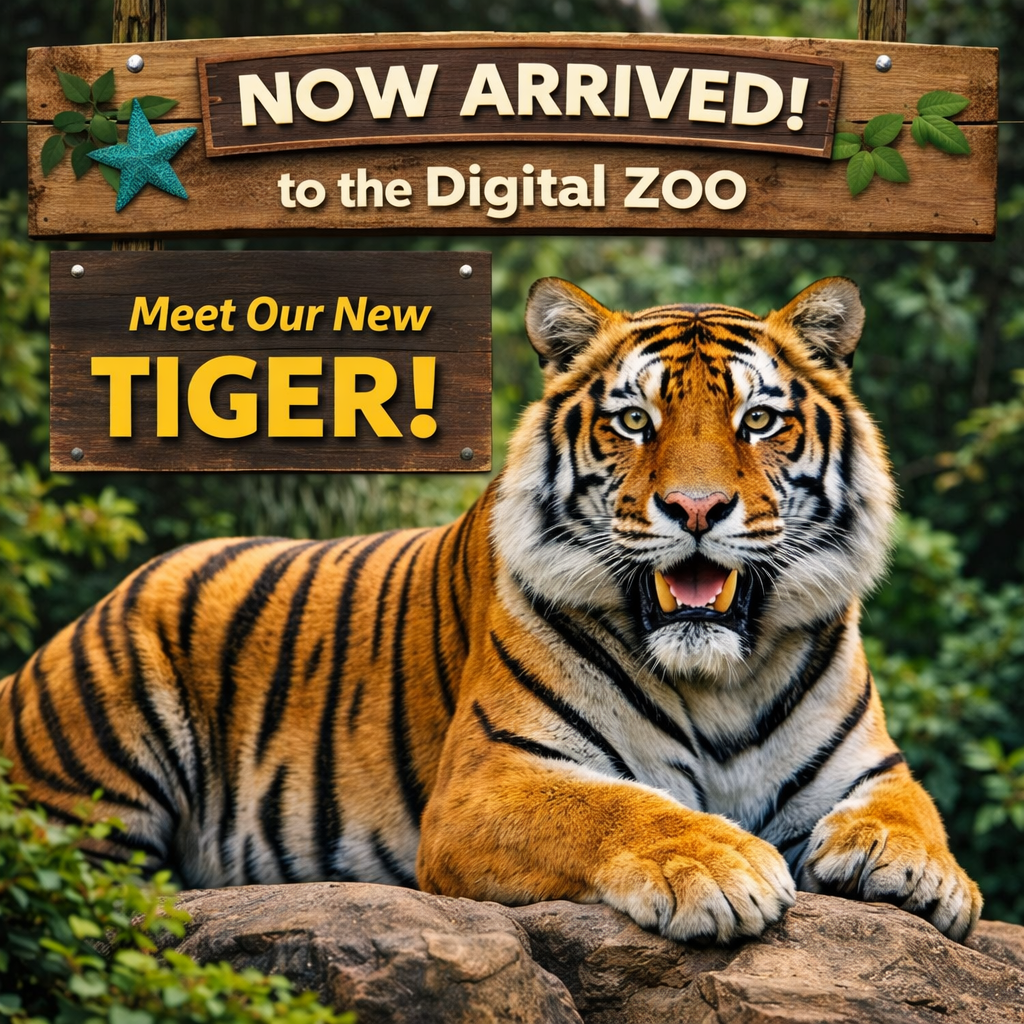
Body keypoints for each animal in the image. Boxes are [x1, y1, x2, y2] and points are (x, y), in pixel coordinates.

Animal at [0, 276, 981, 945]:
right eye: (634, 422)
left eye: (759, 421)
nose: (697, 509)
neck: (718, 682)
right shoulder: (490, 781)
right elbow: (618, 808)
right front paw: (721, 865)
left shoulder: (867, 766)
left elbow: (914, 810)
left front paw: (919, 872)